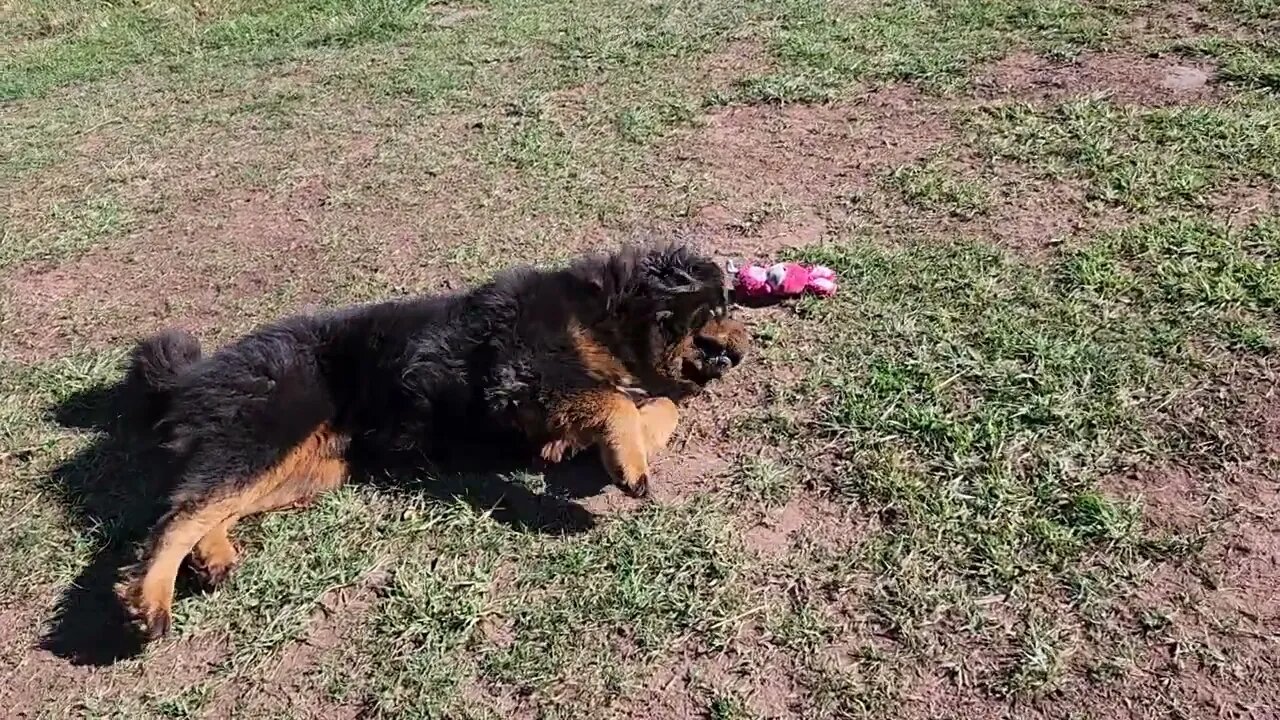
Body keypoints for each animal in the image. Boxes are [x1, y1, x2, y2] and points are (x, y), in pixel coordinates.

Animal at [115, 243, 747, 635]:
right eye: (721, 305)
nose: (745, 350)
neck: (609, 312)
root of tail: (195, 373)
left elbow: (657, 405)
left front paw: (598, 449)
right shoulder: (523, 372)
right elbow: (620, 401)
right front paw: (627, 464)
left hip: (304, 468)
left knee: (206, 505)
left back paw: (213, 556)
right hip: (272, 428)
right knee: (179, 513)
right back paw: (149, 599)